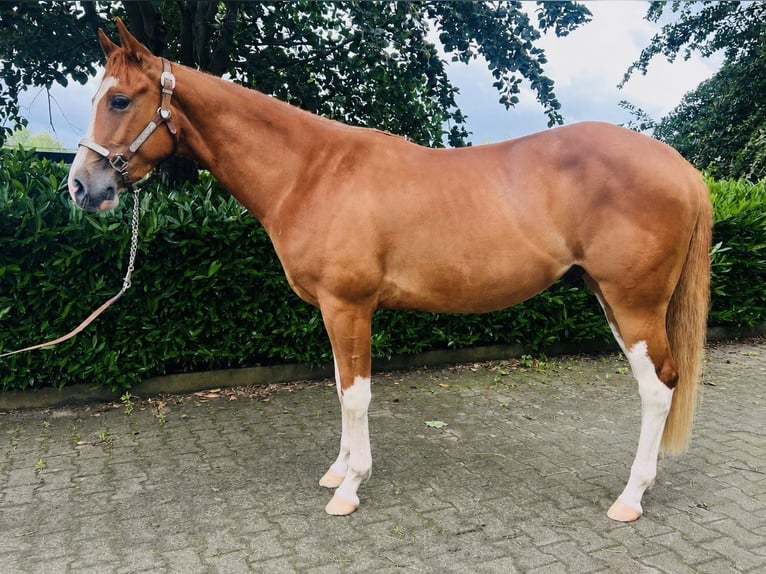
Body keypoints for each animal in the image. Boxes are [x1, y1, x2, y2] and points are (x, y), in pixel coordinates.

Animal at [68, 19, 711, 522]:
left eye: (119, 100)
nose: (81, 187)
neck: (313, 171)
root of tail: (682, 168)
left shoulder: (348, 306)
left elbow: (355, 396)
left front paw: (350, 489)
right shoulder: (335, 313)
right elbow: (339, 386)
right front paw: (338, 471)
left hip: (633, 305)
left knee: (657, 389)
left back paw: (630, 497)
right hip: (610, 298)